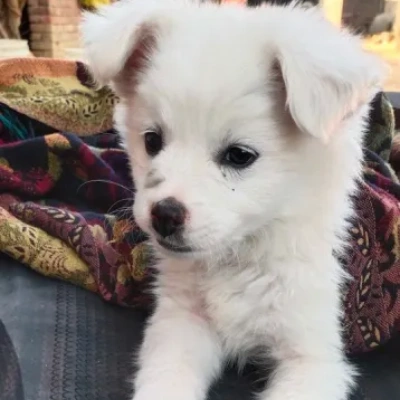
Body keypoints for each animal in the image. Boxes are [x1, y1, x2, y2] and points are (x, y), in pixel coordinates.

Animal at [80, 1, 384, 398]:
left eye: (239, 155)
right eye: (152, 141)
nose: (164, 215)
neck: (240, 257)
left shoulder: (313, 358)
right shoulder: (182, 321)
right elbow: (165, 379)